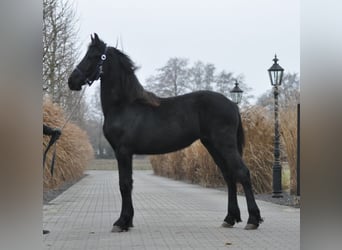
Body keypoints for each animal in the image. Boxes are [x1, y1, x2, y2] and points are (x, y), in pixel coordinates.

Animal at [68, 33, 264, 232]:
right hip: (212, 145)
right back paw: (230, 218)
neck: (124, 106)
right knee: (229, 175)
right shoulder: (124, 153)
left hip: (224, 144)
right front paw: (127, 221)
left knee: (242, 172)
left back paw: (253, 220)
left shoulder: (123, 151)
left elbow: (124, 184)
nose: (72, 81)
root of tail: (233, 104)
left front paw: (121, 222)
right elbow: (128, 183)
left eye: (92, 56)